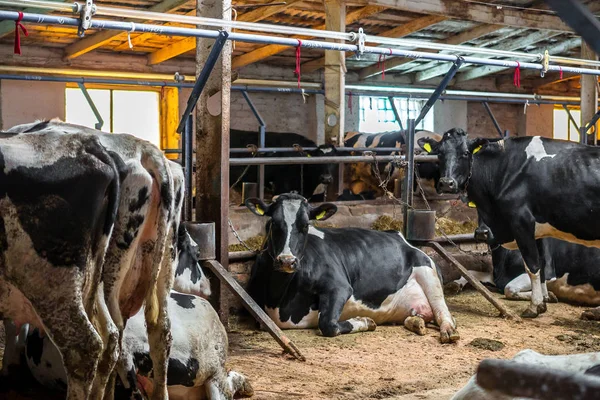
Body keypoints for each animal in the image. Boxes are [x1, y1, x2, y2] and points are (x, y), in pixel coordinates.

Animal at [244, 192, 460, 342]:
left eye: (305, 225)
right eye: (273, 223)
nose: (287, 261)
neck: (281, 299)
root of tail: (399, 235)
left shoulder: (339, 286)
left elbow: (328, 325)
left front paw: (364, 321)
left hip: (428, 271)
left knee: (443, 312)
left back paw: (449, 331)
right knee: (420, 314)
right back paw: (416, 323)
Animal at [418, 130, 600, 320]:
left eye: (466, 153)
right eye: (439, 153)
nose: (447, 183)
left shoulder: (521, 221)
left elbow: (532, 266)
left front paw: (534, 306)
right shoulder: (538, 230)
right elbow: (541, 265)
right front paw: (544, 300)